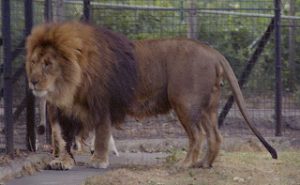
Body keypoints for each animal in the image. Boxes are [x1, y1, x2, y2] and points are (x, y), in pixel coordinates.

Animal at [25, 21, 276, 170]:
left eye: (48, 64)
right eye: (34, 62)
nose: (32, 81)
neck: (70, 82)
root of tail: (212, 51)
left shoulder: (102, 106)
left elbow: (101, 136)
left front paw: (98, 161)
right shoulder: (65, 112)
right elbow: (62, 140)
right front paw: (60, 161)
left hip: (185, 103)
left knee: (197, 135)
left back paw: (185, 164)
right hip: (206, 107)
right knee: (215, 136)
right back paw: (204, 164)